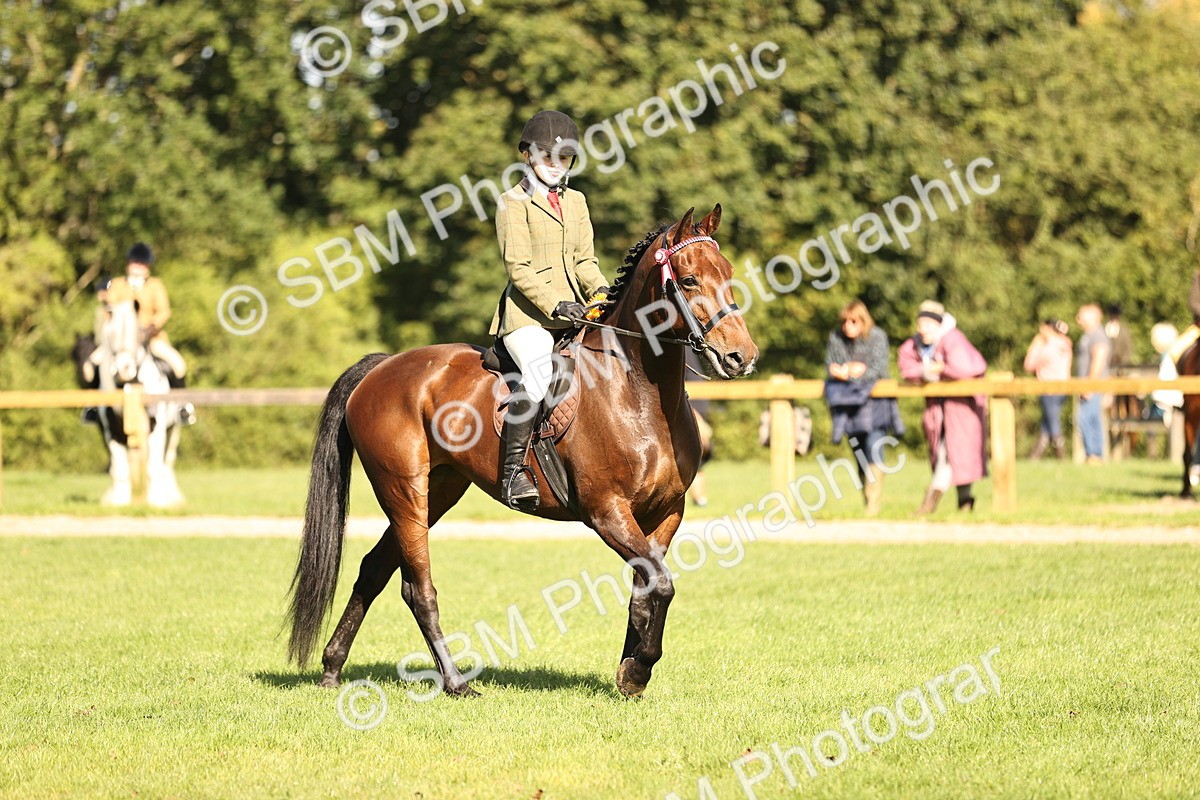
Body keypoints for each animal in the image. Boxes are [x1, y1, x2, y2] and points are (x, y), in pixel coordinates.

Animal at [76, 299, 186, 507]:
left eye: (138, 333)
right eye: (111, 335)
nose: (123, 370)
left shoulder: (157, 426)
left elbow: (153, 465)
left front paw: (156, 499)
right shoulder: (110, 429)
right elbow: (119, 466)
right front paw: (119, 500)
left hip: (174, 427)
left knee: (167, 460)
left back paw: (171, 495)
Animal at [287, 205, 758, 698]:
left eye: (728, 274)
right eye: (688, 280)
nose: (741, 357)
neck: (639, 391)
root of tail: (382, 367)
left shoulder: (666, 512)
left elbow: (646, 590)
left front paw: (630, 671)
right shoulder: (607, 511)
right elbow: (662, 584)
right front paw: (639, 668)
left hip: (438, 491)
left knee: (374, 570)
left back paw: (332, 669)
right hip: (403, 492)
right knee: (417, 588)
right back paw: (455, 683)